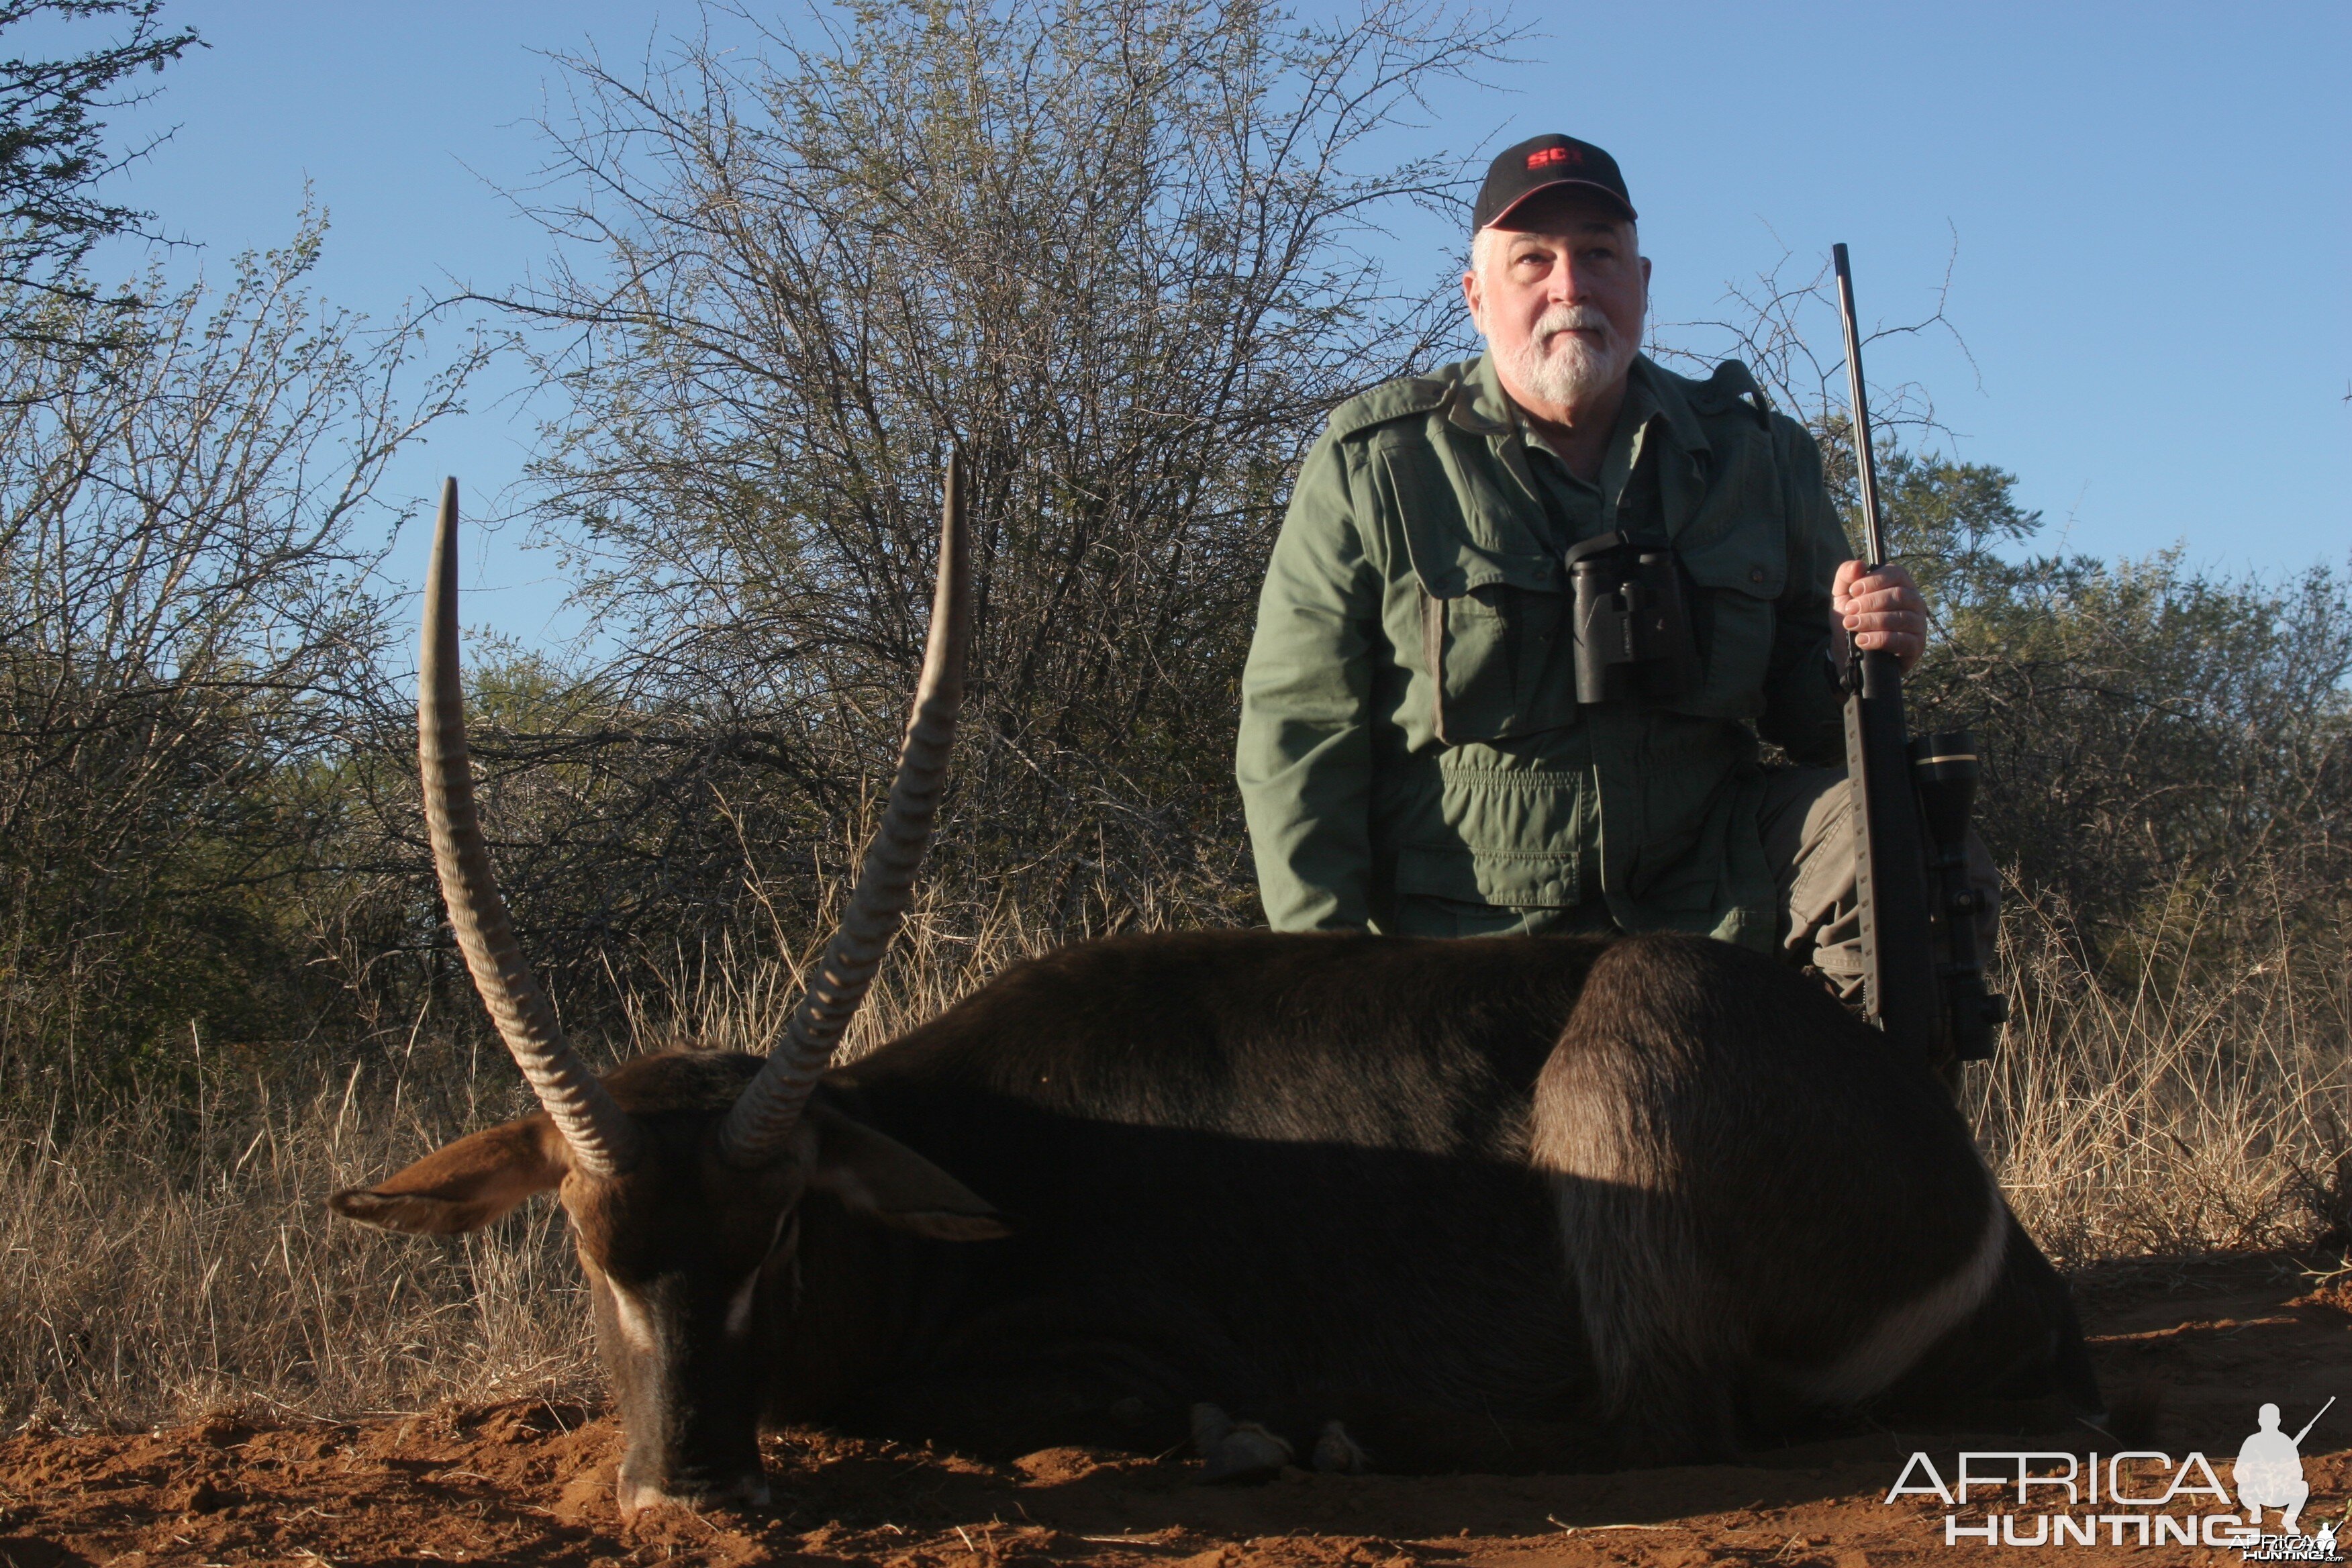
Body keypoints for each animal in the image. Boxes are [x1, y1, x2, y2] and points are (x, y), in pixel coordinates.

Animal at [327, 462, 2098, 1504]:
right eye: (585, 1243)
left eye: (780, 1233)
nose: (689, 1487)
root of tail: (1994, 1229)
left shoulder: (1107, 1342)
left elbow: (975, 1400)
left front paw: (1242, 1431)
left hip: (1630, 1063)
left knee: (1663, 1424)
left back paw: (1352, 1432)